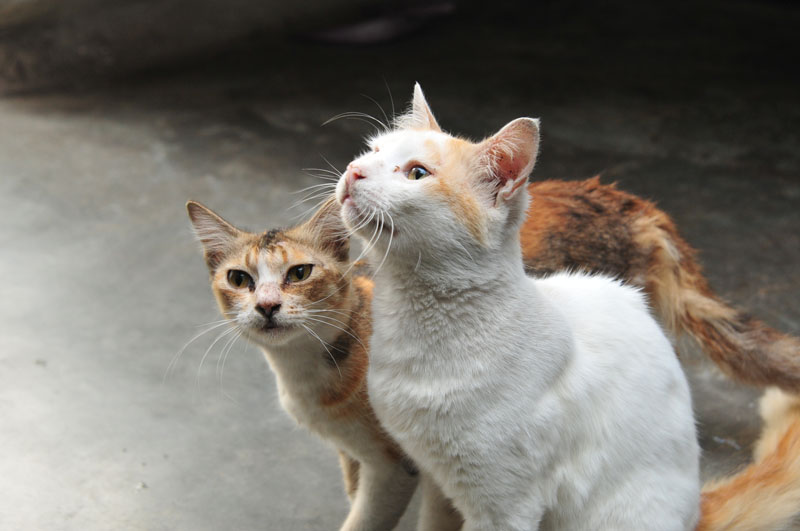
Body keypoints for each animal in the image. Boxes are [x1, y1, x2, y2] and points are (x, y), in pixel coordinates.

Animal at [334, 83, 800, 530]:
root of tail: (697, 512)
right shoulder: (437, 481)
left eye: (417, 173)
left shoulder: (505, 507)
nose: (354, 170)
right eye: (373, 151)